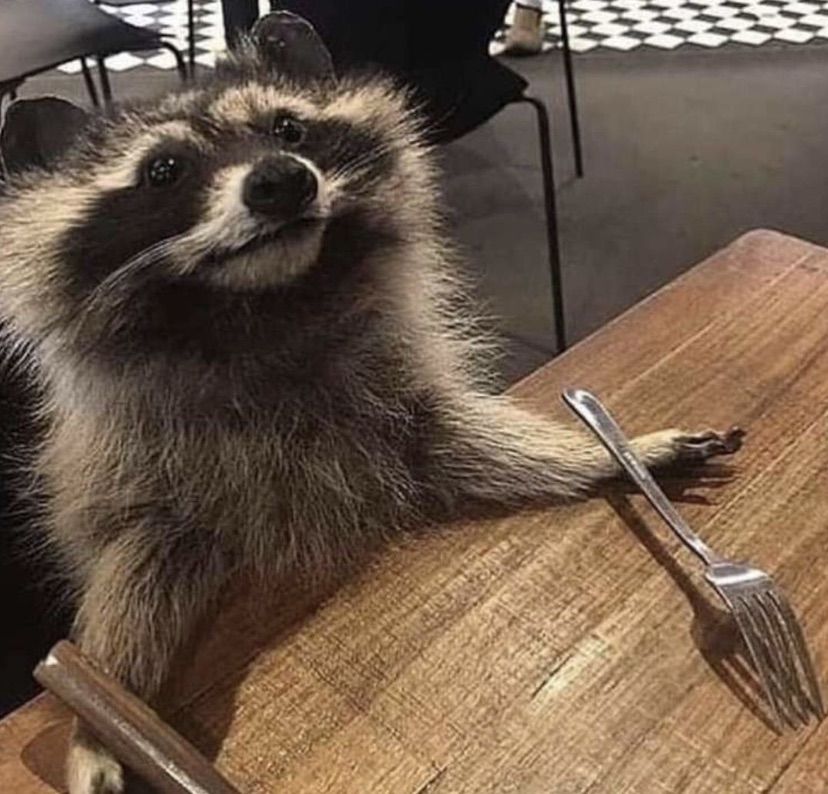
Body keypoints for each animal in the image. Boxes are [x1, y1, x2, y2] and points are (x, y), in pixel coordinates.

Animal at [0, 13, 741, 794]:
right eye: (164, 170)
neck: (265, 306)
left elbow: (463, 439)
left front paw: (609, 454)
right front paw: (99, 717)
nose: (281, 180)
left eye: (289, 128)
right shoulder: (140, 472)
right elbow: (132, 570)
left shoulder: (389, 395)